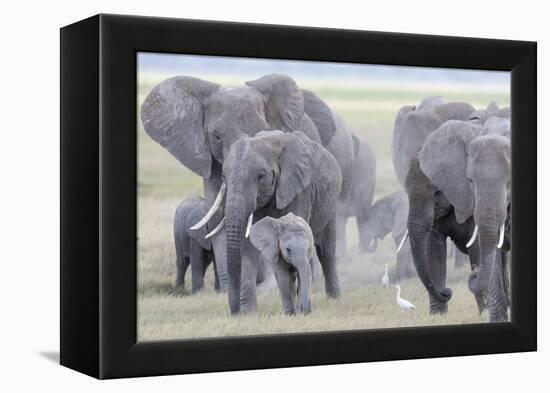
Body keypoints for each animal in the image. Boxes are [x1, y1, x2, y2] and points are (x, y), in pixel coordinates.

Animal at [408, 113, 516, 322]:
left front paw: (483, 313)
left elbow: (478, 249)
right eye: (470, 181)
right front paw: (437, 317)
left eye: (436, 193)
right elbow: (433, 248)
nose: (446, 290)